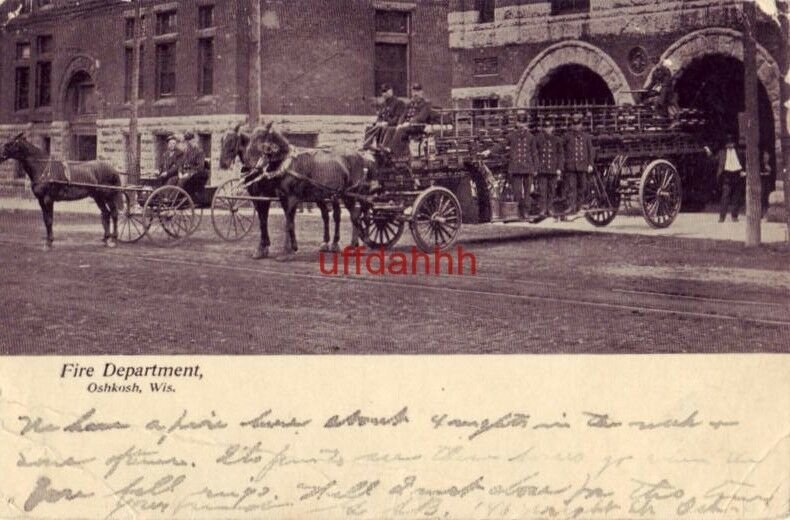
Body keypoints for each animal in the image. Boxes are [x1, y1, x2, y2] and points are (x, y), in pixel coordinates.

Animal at [220, 122, 374, 260]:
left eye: (232, 141)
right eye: (222, 141)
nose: (223, 164)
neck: (286, 165)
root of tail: (359, 156)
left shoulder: (283, 198)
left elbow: (286, 222)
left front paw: (287, 251)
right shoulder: (266, 198)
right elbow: (266, 221)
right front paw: (264, 248)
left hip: (350, 195)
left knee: (355, 215)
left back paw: (356, 244)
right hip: (329, 195)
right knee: (332, 215)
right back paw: (331, 244)